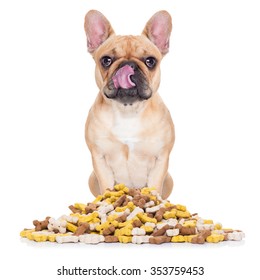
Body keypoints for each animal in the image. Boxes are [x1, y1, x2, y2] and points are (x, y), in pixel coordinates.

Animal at [84, 9, 176, 198]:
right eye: (106, 60)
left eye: (150, 61)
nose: (128, 64)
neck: (128, 110)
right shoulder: (99, 158)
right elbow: (106, 187)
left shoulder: (161, 159)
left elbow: (154, 188)